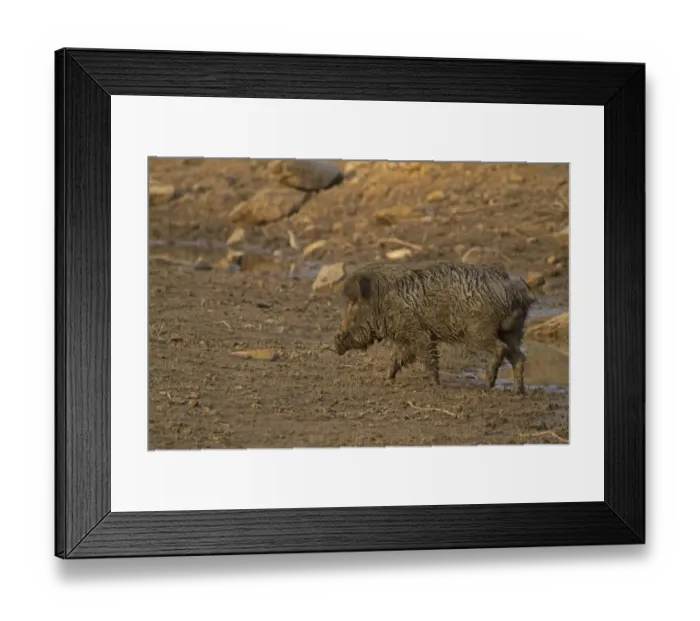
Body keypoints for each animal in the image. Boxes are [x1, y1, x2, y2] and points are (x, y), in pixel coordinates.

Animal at [333, 260, 537, 394]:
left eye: (353, 306)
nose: (335, 343)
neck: (382, 302)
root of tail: (513, 292)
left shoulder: (418, 333)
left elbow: (428, 357)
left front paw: (435, 385)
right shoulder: (406, 338)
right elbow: (397, 358)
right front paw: (387, 380)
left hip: (479, 331)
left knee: (500, 349)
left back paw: (489, 384)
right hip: (512, 331)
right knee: (519, 357)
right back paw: (518, 392)